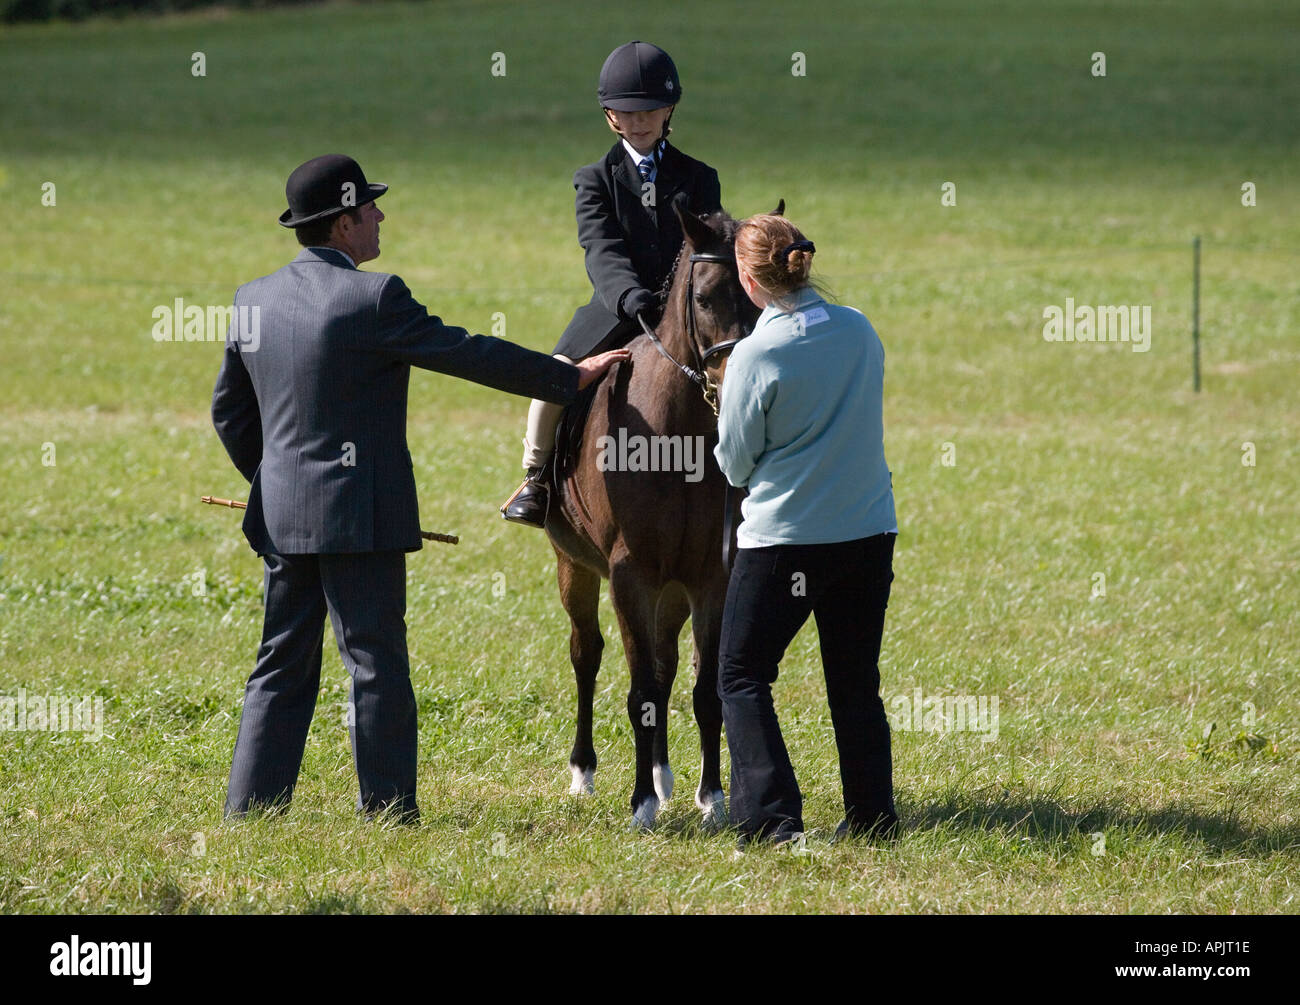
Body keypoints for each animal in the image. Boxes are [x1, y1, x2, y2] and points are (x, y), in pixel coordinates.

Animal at [543, 197, 764, 832]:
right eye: (705, 298)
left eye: (762, 298)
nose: (738, 384)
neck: (678, 433)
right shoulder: (630, 574)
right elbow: (637, 688)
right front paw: (640, 805)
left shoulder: (710, 576)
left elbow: (702, 691)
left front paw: (712, 799)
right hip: (575, 566)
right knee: (587, 654)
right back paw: (585, 772)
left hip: (671, 592)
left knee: (665, 668)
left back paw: (666, 778)